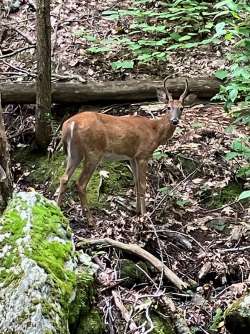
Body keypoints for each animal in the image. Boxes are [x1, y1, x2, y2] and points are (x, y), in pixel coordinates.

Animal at [56, 77, 189, 224]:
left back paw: (57, 211)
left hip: (75, 151)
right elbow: (142, 185)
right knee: (80, 183)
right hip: (93, 151)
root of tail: (70, 124)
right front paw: (144, 216)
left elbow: (136, 182)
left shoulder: (132, 157)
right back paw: (91, 221)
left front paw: (137, 211)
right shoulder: (143, 154)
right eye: (168, 107)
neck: (155, 131)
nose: (174, 121)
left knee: (64, 178)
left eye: (181, 108)